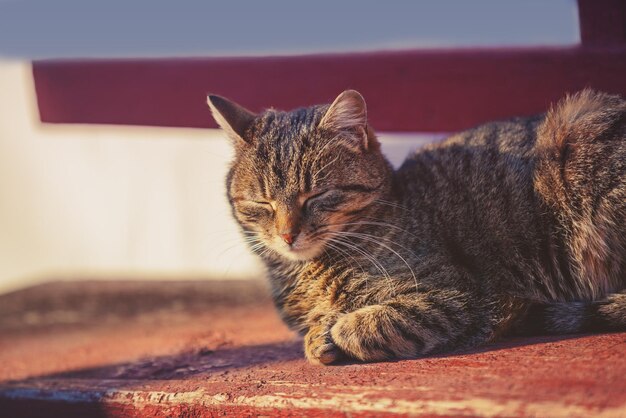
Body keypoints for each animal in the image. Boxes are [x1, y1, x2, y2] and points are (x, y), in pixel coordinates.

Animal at [207, 90, 620, 364]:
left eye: (317, 196)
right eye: (263, 203)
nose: (287, 235)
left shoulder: (460, 297)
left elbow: (369, 323)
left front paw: (336, 329)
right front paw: (317, 336)